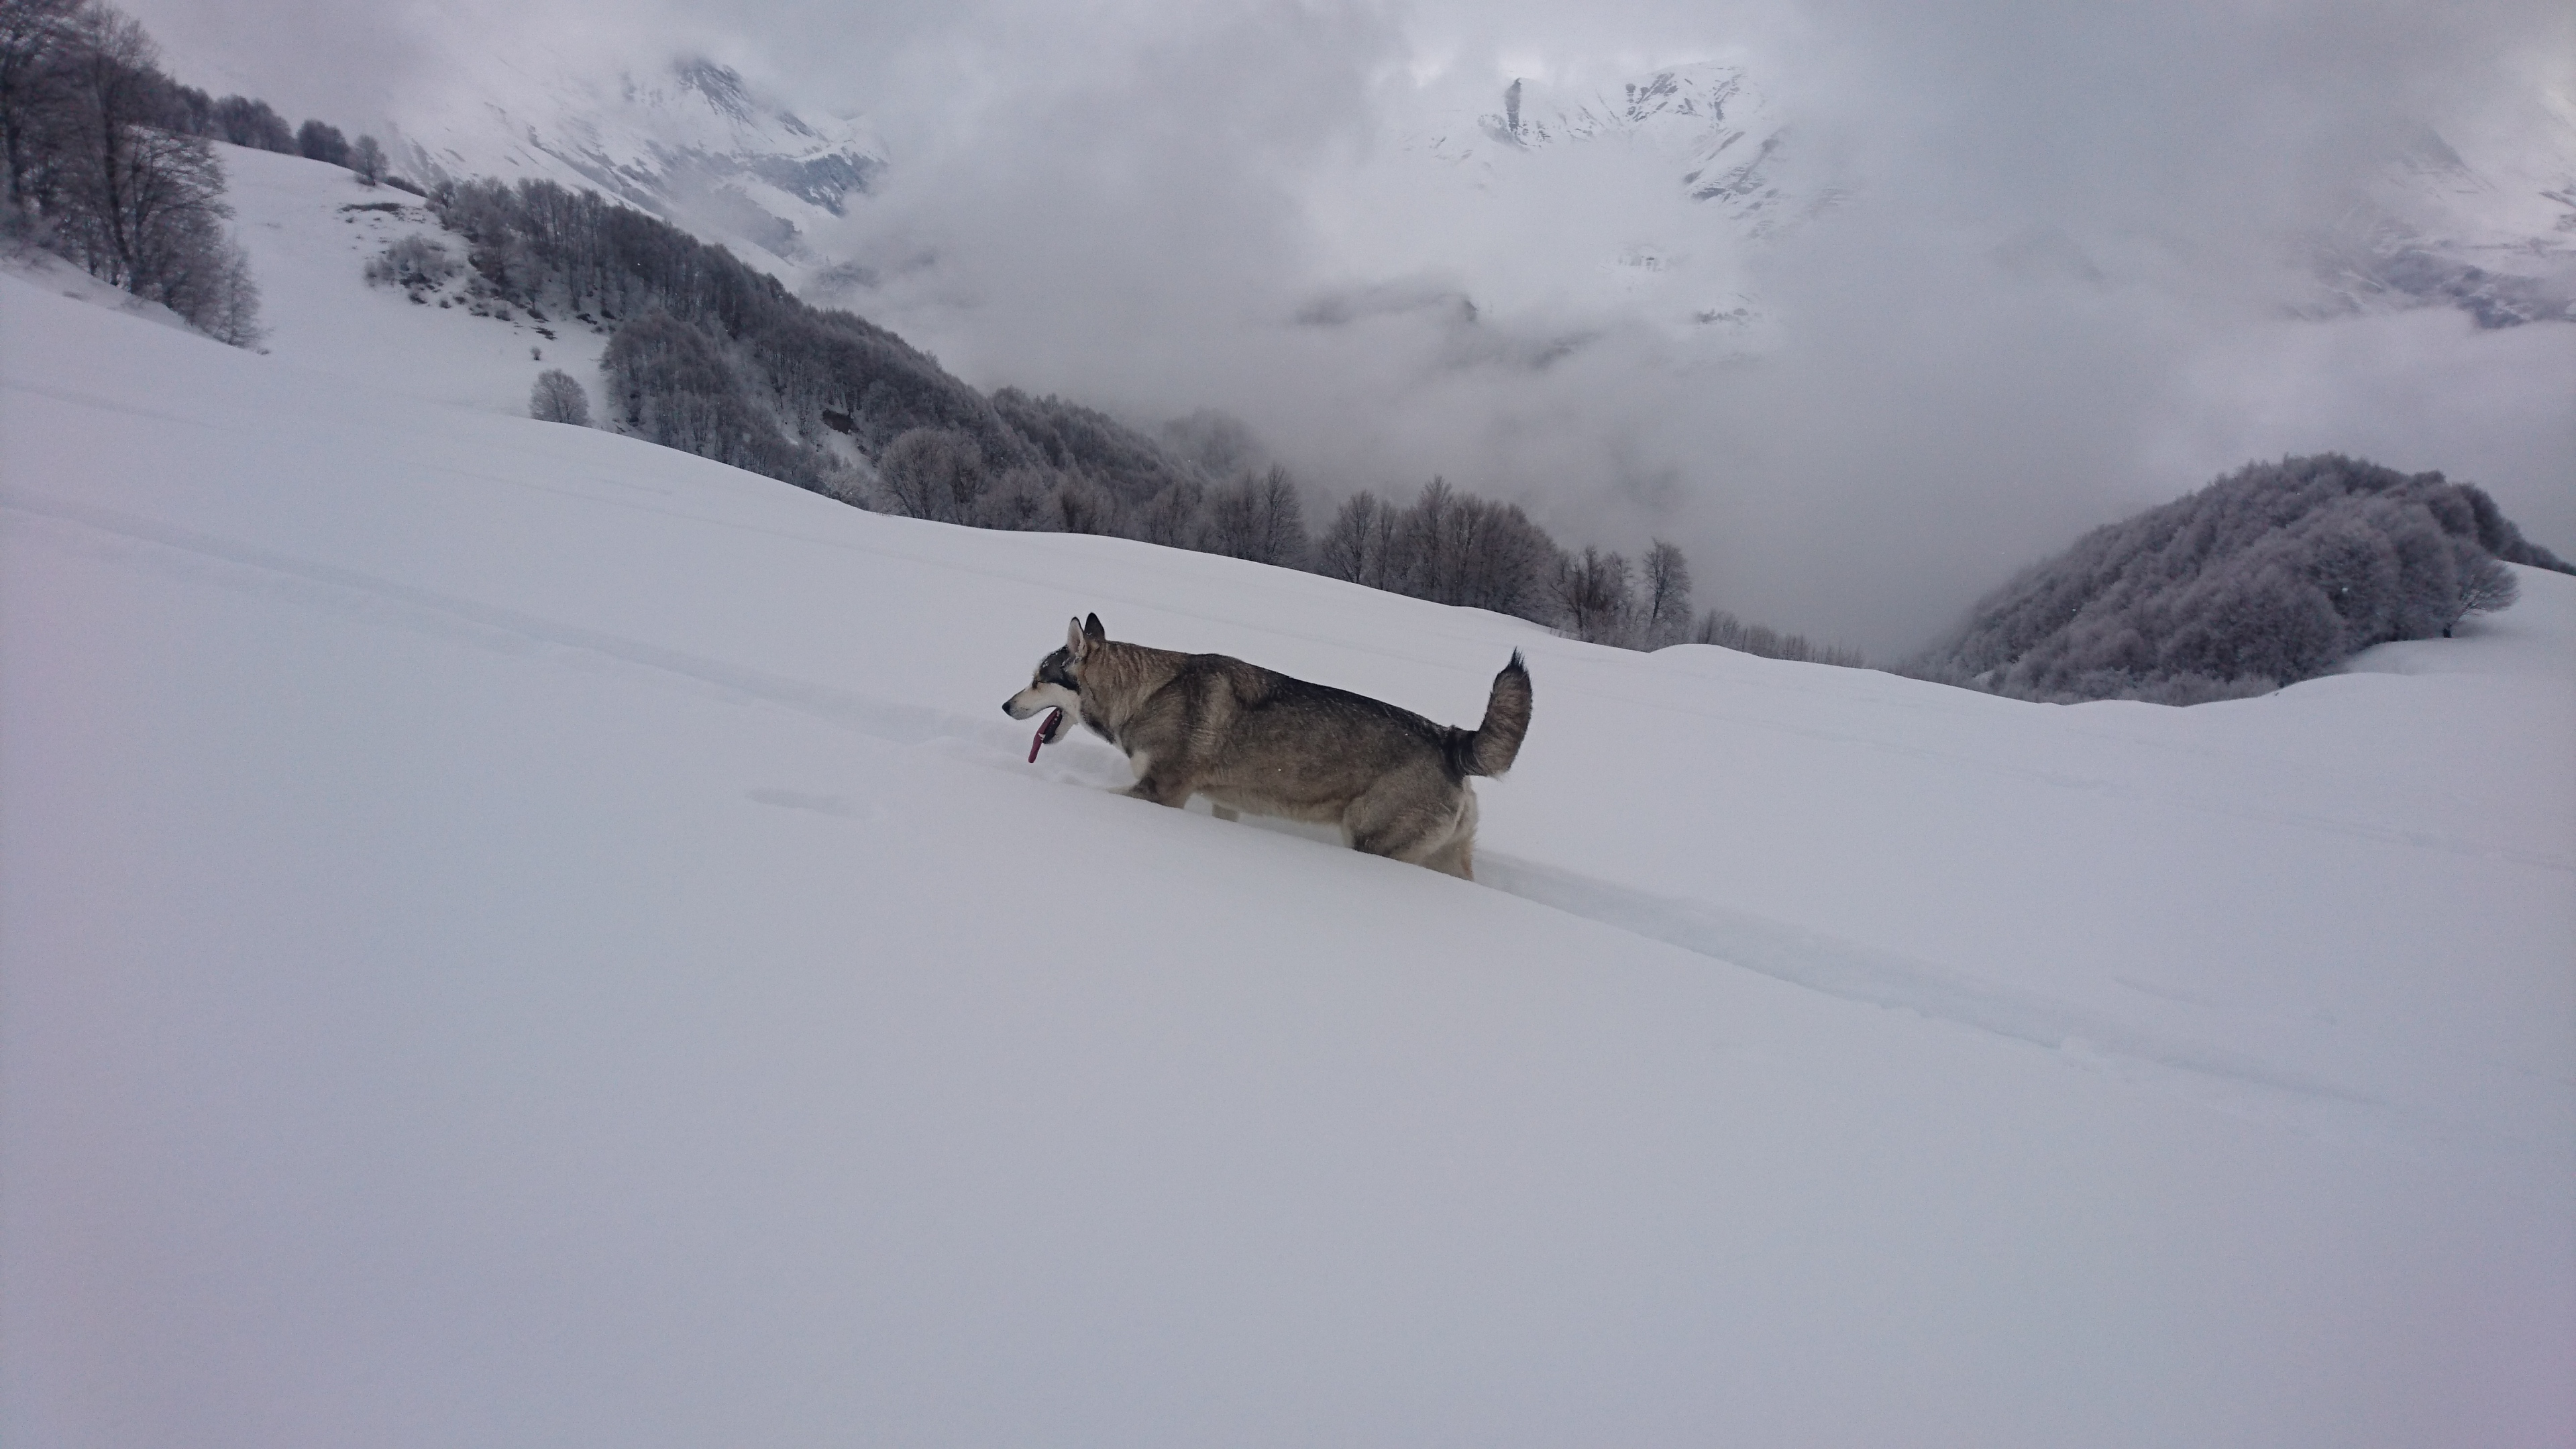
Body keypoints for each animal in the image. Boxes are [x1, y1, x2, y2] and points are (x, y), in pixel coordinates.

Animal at [1004, 610, 1525, 876]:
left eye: (1037, 680)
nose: (1006, 706)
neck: (1147, 692)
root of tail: (1452, 741)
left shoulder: (1160, 793)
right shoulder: (1221, 803)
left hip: (1369, 839)